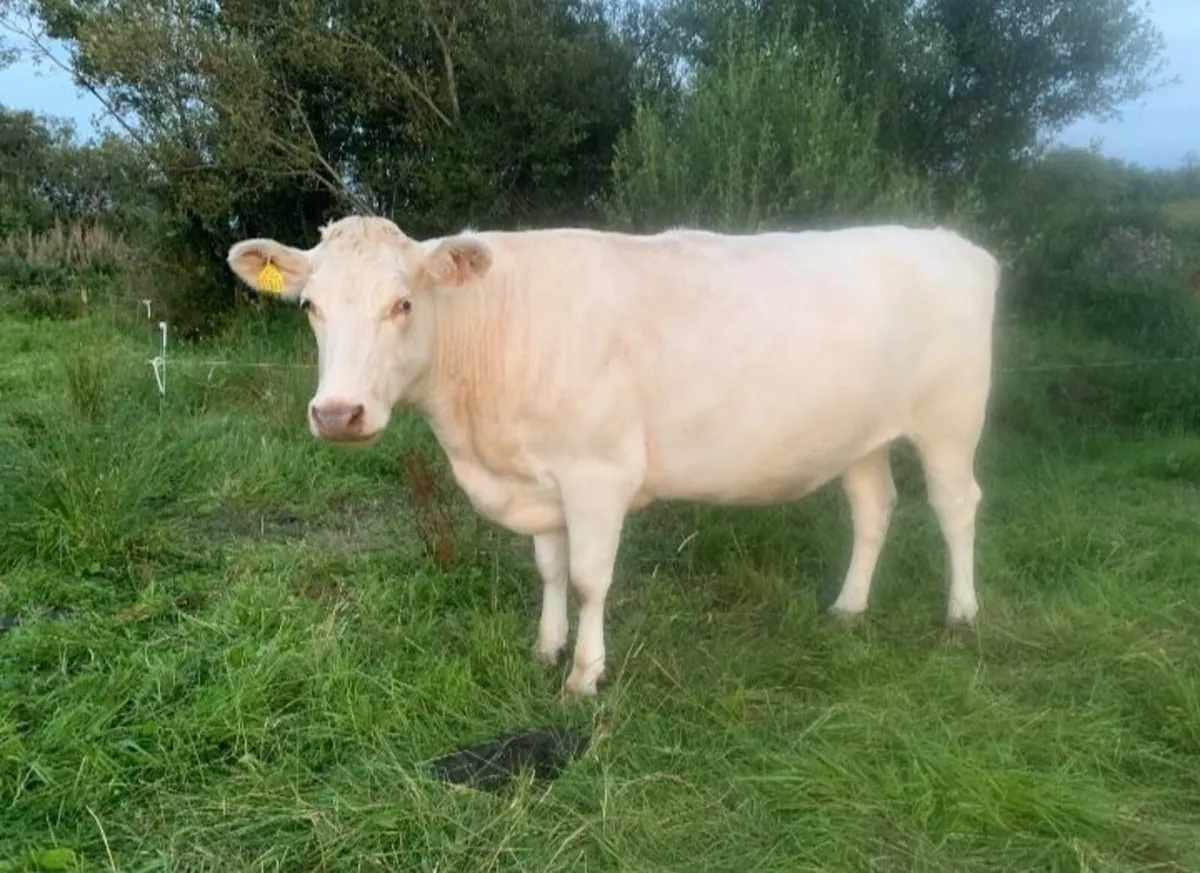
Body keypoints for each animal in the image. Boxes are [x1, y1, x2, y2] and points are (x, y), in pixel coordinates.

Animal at [226, 215, 1000, 696]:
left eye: (403, 303)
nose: (338, 413)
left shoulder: (597, 474)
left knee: (957, 506)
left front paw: (583, 676)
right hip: (860, 434)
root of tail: (957, 246)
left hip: (950, 420)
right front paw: (545, 647)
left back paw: (962, 615)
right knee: (874, 508)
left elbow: (589, 579)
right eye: (310, 307)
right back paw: (848, 607)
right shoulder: (537, 478)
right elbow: (549, 569)